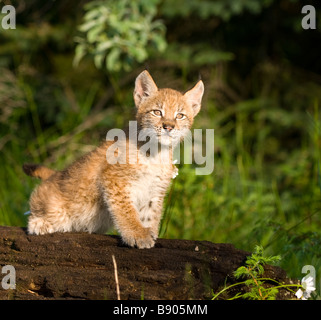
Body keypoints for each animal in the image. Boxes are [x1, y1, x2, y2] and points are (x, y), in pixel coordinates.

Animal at [22, 71, 204, 249]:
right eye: (157, 112)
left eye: (180, 116)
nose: (168, 127)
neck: (156, 152)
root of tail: (56, 173)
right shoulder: (115, 180)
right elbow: (126, 210)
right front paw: (137, 234)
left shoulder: (155, 190)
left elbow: (151, 215)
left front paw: (149, 232)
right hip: (54, 205)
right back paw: (40, 223)